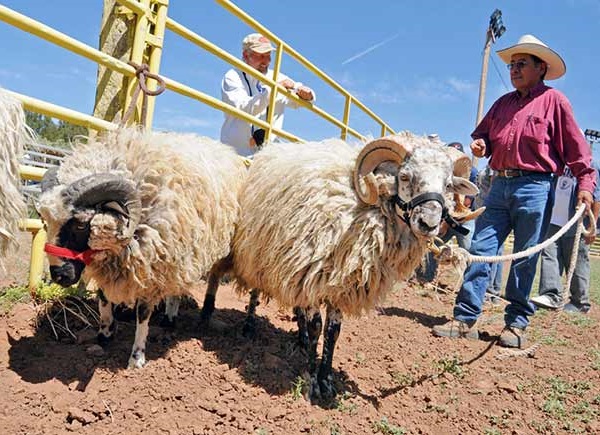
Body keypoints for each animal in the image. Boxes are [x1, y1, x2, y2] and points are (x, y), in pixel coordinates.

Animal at [37, 127, 246, 370]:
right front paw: (105, 333)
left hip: (188, 254)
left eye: (81, 224)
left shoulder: (152, 267)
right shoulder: (111, 266)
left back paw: (171, 319)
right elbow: (103, 297)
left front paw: (136, 359)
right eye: (44, 221)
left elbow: (143, 313)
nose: (59, 276)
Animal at [203, 133, 478, 402]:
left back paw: (300, 340)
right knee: (256, 291)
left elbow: (333, 332)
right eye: (404, 176)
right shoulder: (310, 276)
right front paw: (312, 382)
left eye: (448, 185)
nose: (429, 223)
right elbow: (316, 327)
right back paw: (248, 326)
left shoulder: (339, 284)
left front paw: (326, 381)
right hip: (260, 251)